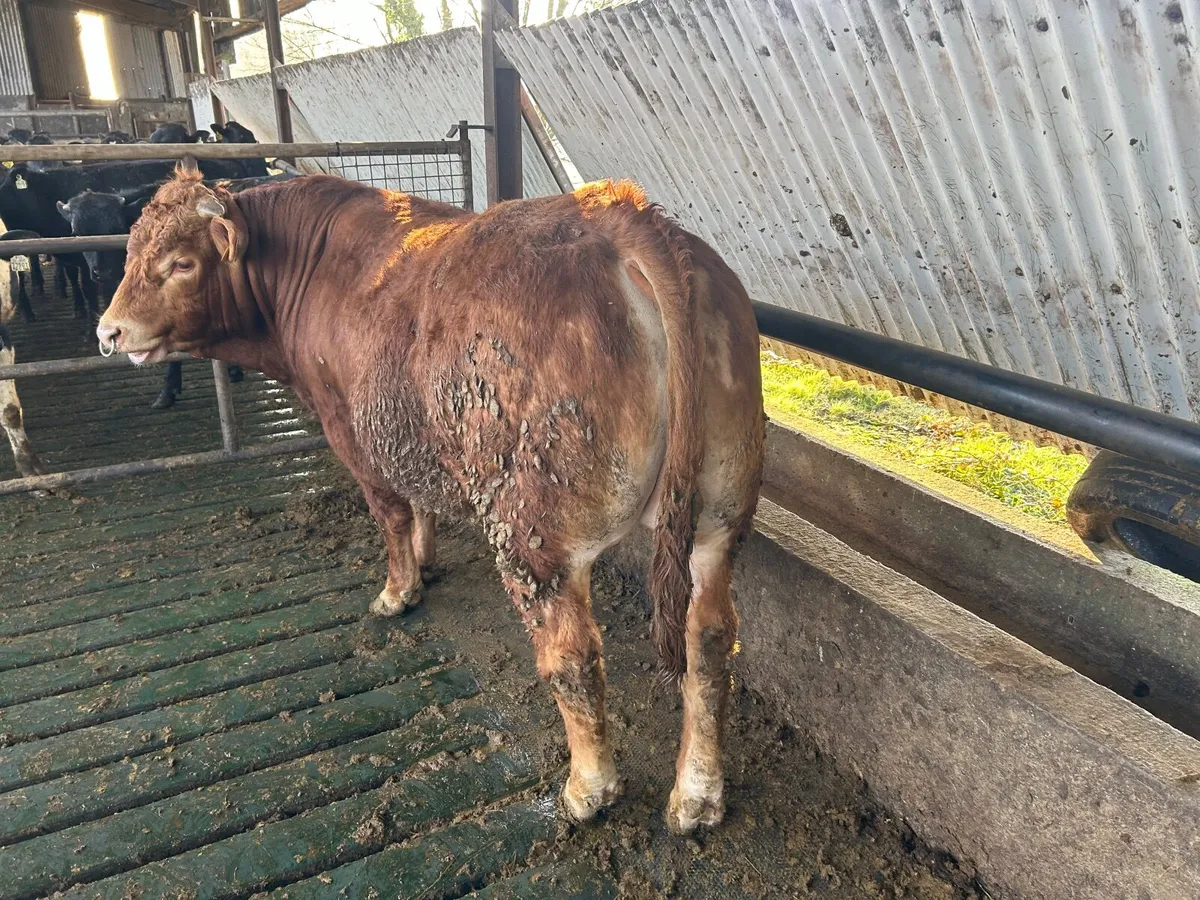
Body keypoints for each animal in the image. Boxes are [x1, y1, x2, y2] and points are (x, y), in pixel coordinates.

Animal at [97, 162, 764, 835]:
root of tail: (619, 211)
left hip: (536, 532)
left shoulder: (351, 429)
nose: (108, 331)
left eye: (181, 262)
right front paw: (426, 557)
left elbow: (390, 513)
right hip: (720, 513)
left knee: (573, 656)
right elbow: (417, 498)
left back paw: (588, 789)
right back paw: (697, 794)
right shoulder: (404, 430)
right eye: (130, 252)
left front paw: (399, 590)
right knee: (710, 642)